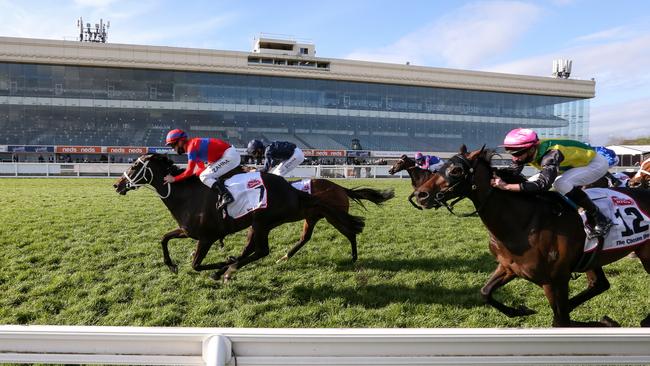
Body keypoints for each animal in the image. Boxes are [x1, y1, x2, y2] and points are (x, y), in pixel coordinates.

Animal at [111, 153, 364, 282]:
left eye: (134, 167)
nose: (117, 185)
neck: (185, 194)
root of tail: (293, 190)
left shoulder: (207, 237)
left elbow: (196, 264)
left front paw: (221, 265)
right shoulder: (188, 231)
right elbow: (164, 238)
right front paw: (171, 265)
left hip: (263, 222)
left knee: (262, 251)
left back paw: (228, 269)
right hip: (264, 224)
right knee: (260, 249)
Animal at [416, 147, 648, 328]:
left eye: (456, 170)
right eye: (441, 167)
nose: (421, 194)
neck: (523, 224)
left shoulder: (555, 281)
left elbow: (561, 322)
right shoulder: (508, 267)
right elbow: (485, 292)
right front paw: (520, 310)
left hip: (645, 254)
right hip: (592, 258)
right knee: (599, 284)